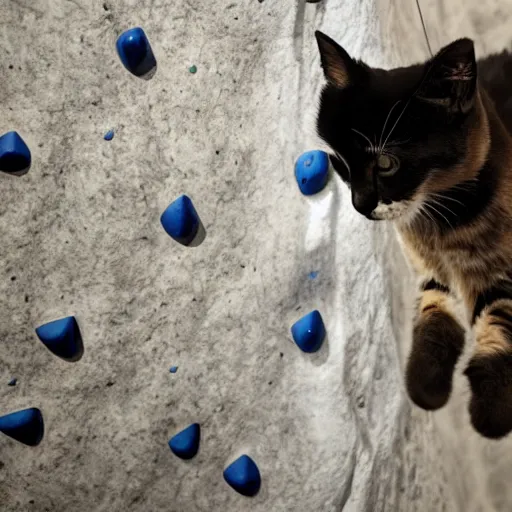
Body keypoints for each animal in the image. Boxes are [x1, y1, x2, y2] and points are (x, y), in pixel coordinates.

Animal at [314, 30, 512, 438]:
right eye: (340, 162)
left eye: (386, 163)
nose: (359, 204)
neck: (441, 222)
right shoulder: (431, 274)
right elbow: (434, 319)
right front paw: (426, 387)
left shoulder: (502, 268)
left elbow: (500, 319)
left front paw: (492, 412)